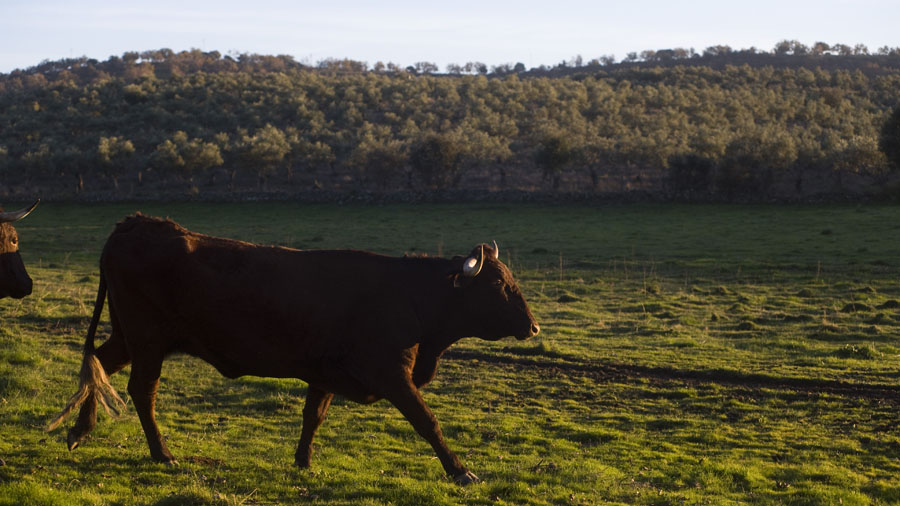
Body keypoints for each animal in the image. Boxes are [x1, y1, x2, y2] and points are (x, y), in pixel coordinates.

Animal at [49, 215, 536, 484]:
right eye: (498, 285)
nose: (532, 326)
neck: (410, 297)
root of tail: (135, 223)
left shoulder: (325, 372)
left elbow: (312, 416)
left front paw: (303, 462)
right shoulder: (392, 375)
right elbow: (427, 421)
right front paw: (460, 470)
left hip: (129, 339)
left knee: (99, 367)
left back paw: (80, 430)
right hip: (149, 342)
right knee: (142, 392)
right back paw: (162, 453)